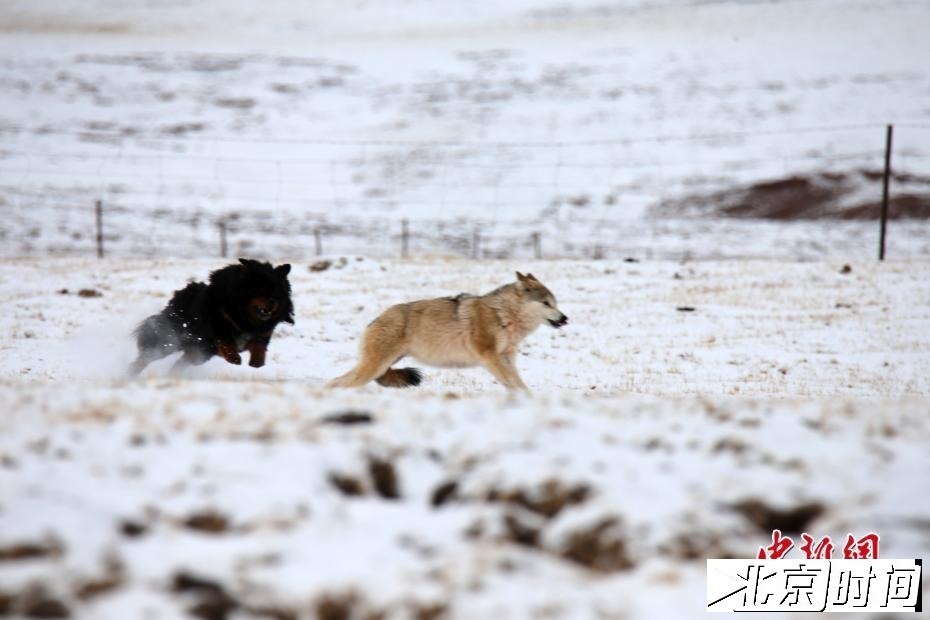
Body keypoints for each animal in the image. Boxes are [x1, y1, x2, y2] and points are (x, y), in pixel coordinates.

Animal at [129, 258, 292, 376]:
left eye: (278, 291)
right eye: (260, 288)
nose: (273, 301)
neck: (246, 318)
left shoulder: (263, 332)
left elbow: (259, 345)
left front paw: (257, 361)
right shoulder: (217, 327)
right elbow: (225, 340)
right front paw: (234, 358)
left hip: (199, 353)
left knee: (178, 364)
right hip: (171, 341)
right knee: (144, 358)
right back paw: (130, 375)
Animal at [322, 272, 568, 392]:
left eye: (555, 303)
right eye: (546, 303)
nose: (565, 318)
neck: (503, 315)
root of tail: (375, 319)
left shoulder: (505, 358)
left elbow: (515, 383)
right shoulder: (490, 357)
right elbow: (515, 383)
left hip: (381, 366)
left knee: (337, 380)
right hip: (375, 367)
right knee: (337, 382)